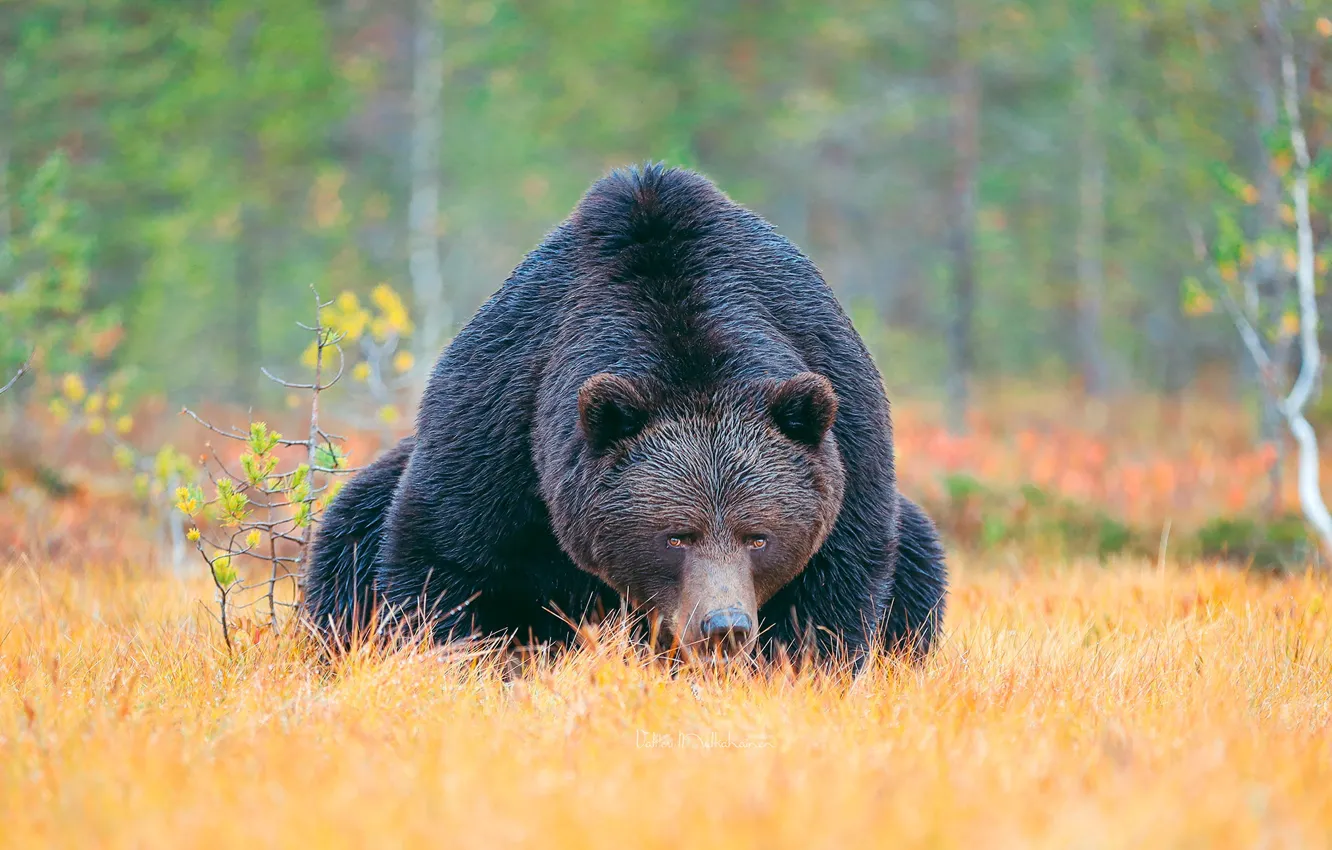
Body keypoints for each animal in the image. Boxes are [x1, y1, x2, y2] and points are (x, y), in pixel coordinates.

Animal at [303, 163, 947, 667]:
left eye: (758, 535)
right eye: (676, 535)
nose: (724, 627)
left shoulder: (846, 426)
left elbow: (832, 587)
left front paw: (797, 667)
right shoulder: (504, 421)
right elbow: (448, 562)